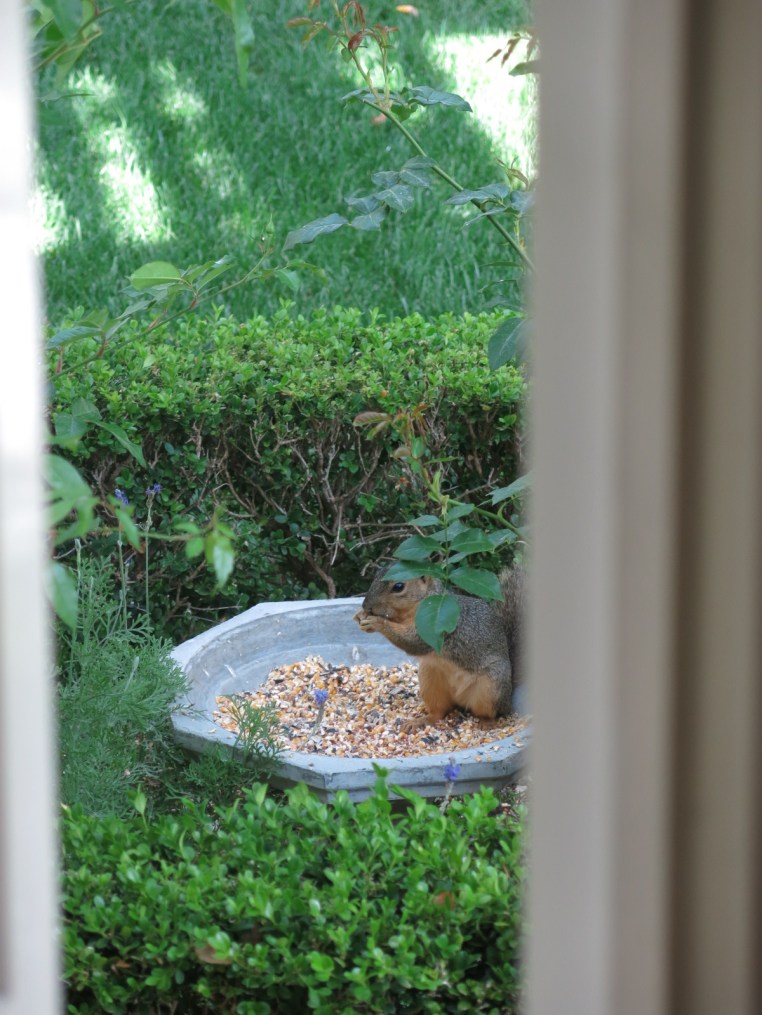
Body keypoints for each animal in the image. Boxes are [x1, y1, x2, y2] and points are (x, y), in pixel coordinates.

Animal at [353, 564, 525, 730]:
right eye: (376, 575)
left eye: (398, 586)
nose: (366, 606)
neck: (427, 601)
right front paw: (360, 615)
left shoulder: (435, 629)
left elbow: (413, 642)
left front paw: (377, 622)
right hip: (430, 681)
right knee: (439, 711)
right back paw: (421, 721)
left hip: (491, 687)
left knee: (490, 712)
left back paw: (487, 723)